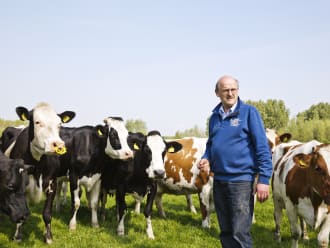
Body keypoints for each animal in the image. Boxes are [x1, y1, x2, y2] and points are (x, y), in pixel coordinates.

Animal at [0, 102, 75, 242]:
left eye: (59, 124)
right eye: (37, 122)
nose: (58, 145)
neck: (38, 167)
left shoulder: (52, 184)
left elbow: (47, 214)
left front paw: (48, 237)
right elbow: (21, 212)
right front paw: (17, 236)